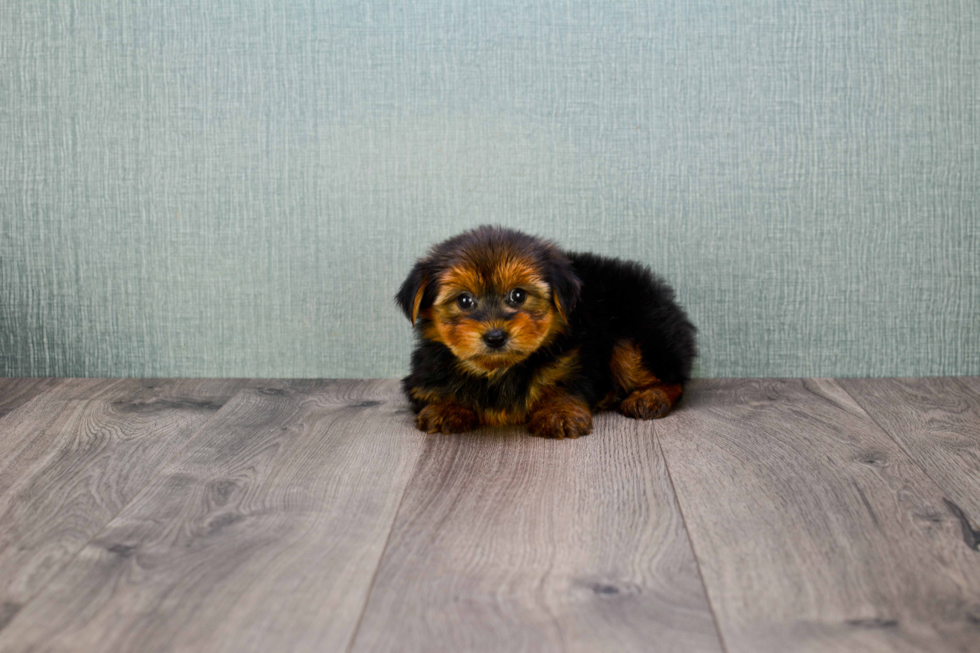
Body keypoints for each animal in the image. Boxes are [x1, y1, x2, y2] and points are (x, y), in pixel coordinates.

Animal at [396, 225, 696, 438]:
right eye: (464, 301)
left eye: (518, 295)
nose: (495, 336)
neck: (499, 371)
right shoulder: (422, 377)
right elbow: (434, 390)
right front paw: (446, 408)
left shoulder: (574, 361)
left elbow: (563, 385)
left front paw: (558, 412)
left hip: (640, 333)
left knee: (672, 378)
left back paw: (650, 396)